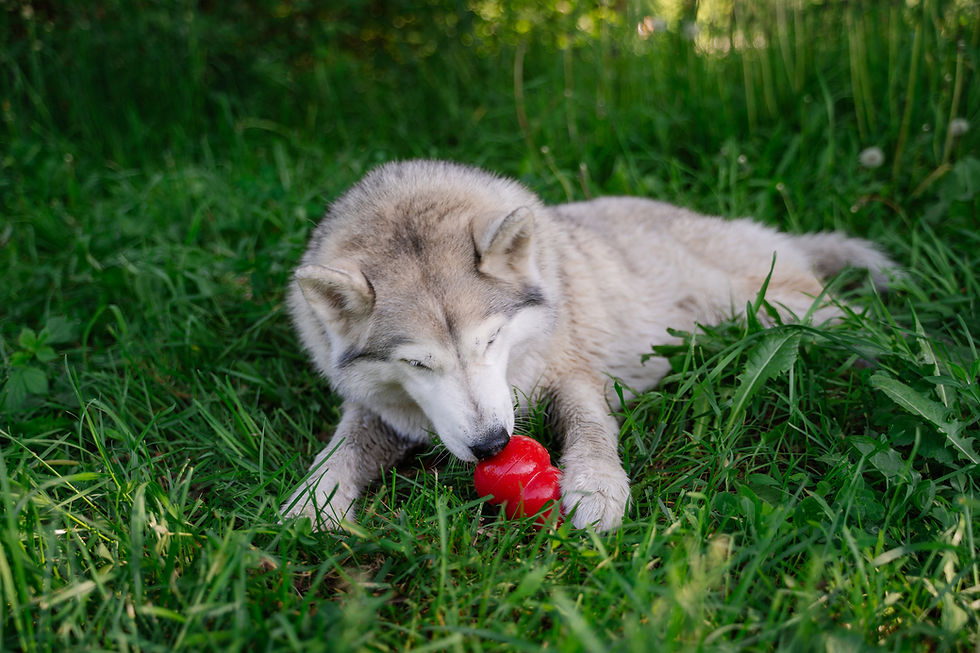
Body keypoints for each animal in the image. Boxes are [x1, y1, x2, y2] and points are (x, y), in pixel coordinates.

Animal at [280, 159, 896, 531]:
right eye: (416, 363)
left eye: (492, 339)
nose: (492, 446)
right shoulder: (375, 412)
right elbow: (338, 454)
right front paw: (309, 507)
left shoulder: (574, 377)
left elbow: (589, 427)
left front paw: (597, 488)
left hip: (763, 306)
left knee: (848, 316)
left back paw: (883, 350)